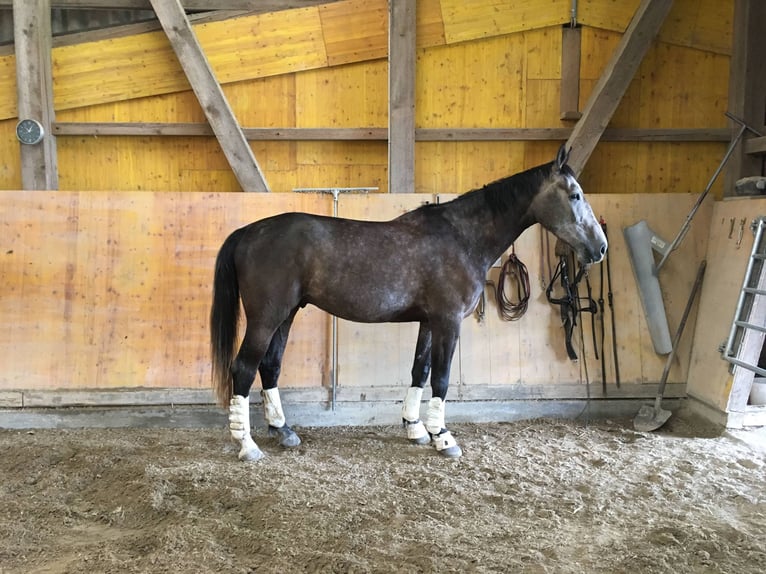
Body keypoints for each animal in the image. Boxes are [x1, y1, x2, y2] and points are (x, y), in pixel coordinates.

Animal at [210, 145, 607, 461]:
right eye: (574, 195)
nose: (600, 248)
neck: (462, 238)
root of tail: (248, 232)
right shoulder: (448, 321)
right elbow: (442, 378)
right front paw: (443, 438)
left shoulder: (429, 322)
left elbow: (421, 370)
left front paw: (415, 429)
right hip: (266, 317)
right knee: (243, 368)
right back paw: (247, 446)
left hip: (286, 315)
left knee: (270, 367)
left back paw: (284, 431)